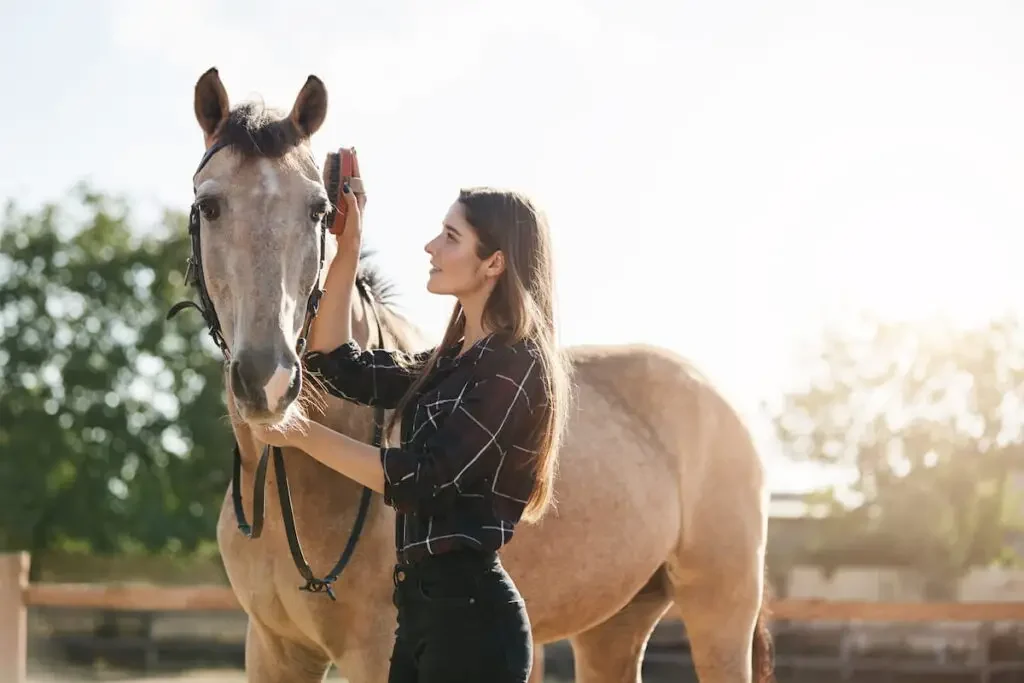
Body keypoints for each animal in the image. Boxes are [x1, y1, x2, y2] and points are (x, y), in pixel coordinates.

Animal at [176, 65, 770, 683]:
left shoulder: (372, 653)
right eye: (210, 206)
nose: (268, 381)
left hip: (720, 613)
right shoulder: (273, 647)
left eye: (317, 208)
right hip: (615, 623)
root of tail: (715, 394)